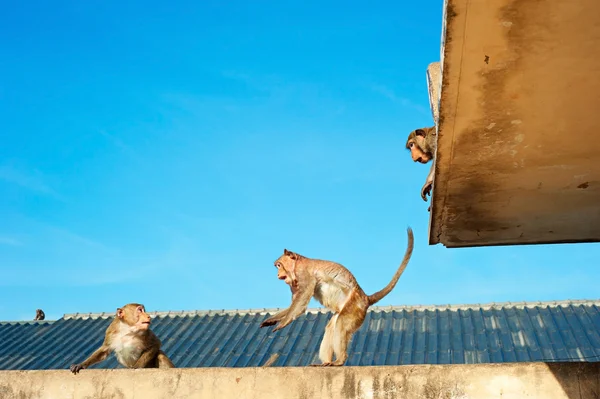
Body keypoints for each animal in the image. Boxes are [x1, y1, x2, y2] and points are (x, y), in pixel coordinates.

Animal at [260, 228, 414, 368]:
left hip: (355, 308)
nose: (278, 274)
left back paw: (339, 360)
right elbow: (294, 303)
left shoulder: (303, 274)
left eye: (279, 265)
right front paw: (271, 320)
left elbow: (301, 301)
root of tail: (365, 297)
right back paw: (326, 362)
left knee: (340, 324)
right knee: (331, 327)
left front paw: (282, 323)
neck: (298, 262)